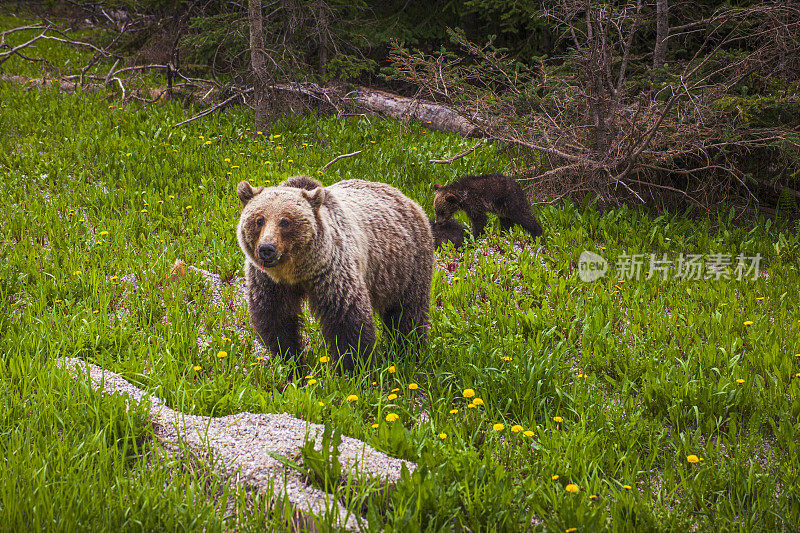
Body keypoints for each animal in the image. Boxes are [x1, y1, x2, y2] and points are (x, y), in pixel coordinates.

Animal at [238, 175, 434, 370]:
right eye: (259, 220)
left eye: (285, 221)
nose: (267, 248)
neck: (296, 272)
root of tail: (402, 195)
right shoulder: (268, 281)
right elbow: (276, 320)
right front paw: (291, 361)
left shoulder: (332, 272)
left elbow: (347, 320)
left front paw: (354, 366)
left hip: (405, 265)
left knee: (407, 312)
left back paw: (409, 352)